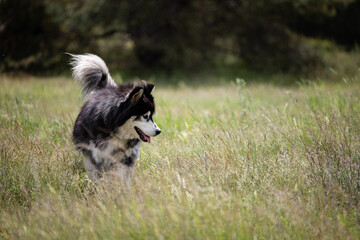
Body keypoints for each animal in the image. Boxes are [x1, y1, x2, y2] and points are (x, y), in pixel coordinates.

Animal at [69, 53, 162, 183]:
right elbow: (97, 177)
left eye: (152, 116)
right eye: (145, 116)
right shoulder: (95, 155)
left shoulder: (124, 158)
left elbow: (120, 176)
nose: (159, 131)